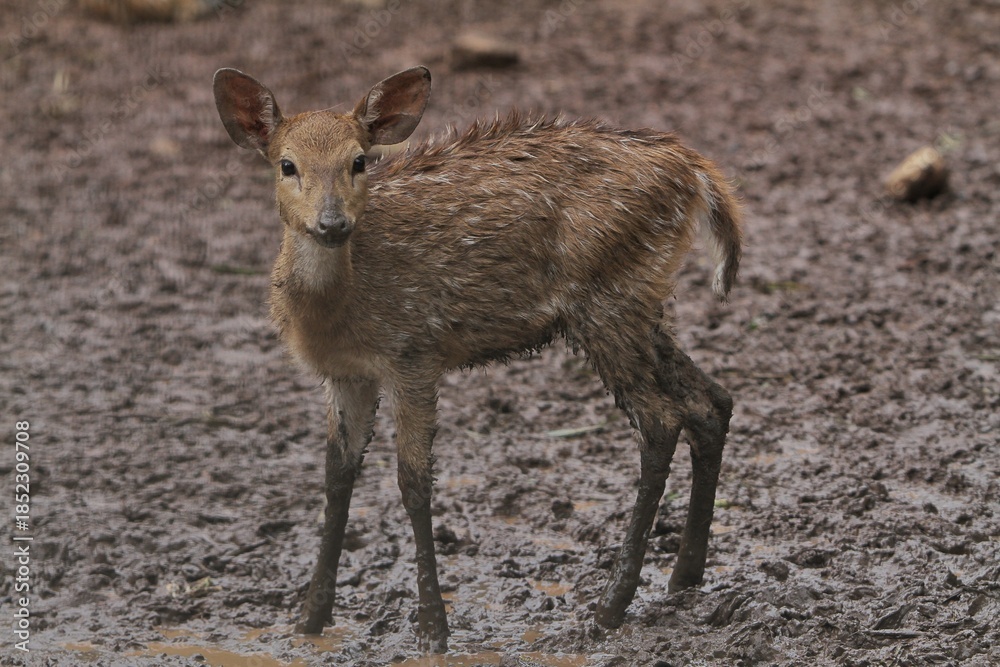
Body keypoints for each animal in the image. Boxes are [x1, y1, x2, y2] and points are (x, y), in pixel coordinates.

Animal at [213, 65, 743, 653]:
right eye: (287, 164)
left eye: (358, 160)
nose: (332, 223)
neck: (339, 313)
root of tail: (696, 172)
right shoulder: (345, 375)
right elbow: (336, 477)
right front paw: (309, 621)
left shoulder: (414, 351)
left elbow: (413, 482)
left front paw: (432, 629)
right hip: (642, 302)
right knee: (711, 402)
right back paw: (684, 576)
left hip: (608, 299)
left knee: (661, 419)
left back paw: (611, 606)